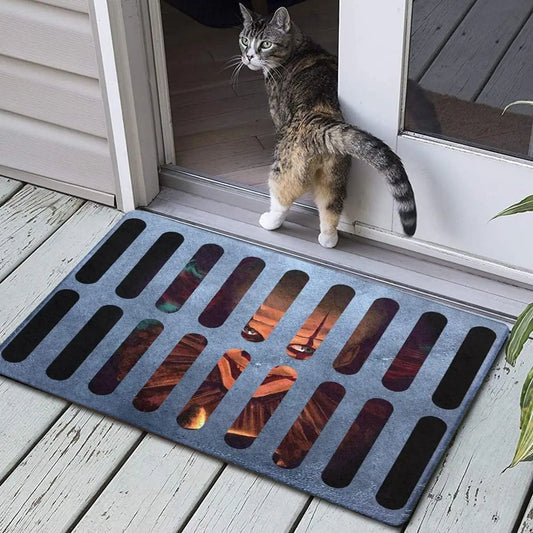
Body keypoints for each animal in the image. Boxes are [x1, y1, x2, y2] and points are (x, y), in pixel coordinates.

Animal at [237, 4, 416, 247]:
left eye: (265, 44)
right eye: (245, 40)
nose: (248, 56)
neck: (299, 48)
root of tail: (321, 124)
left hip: (285, 165)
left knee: (282, 195)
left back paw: (270, 221)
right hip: (334, 174)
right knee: (330, 204)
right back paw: (328, 238)